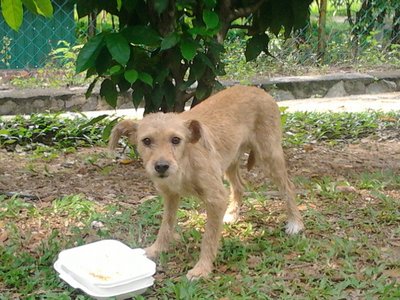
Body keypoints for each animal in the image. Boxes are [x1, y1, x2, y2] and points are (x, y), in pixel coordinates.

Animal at [108, 85, 304, 280]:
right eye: (146, 141)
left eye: (176, 140)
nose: (162, 166)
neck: (184, 164)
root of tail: (258, 90)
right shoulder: (170, 196)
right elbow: (166, 226)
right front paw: (156, 250)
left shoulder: (216, 198)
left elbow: (208, 238)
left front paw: (202, 269)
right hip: (229, 161)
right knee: (239, 186)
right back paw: (232, 214)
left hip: (269, 155)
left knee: (288, 187)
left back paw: (295, 223)